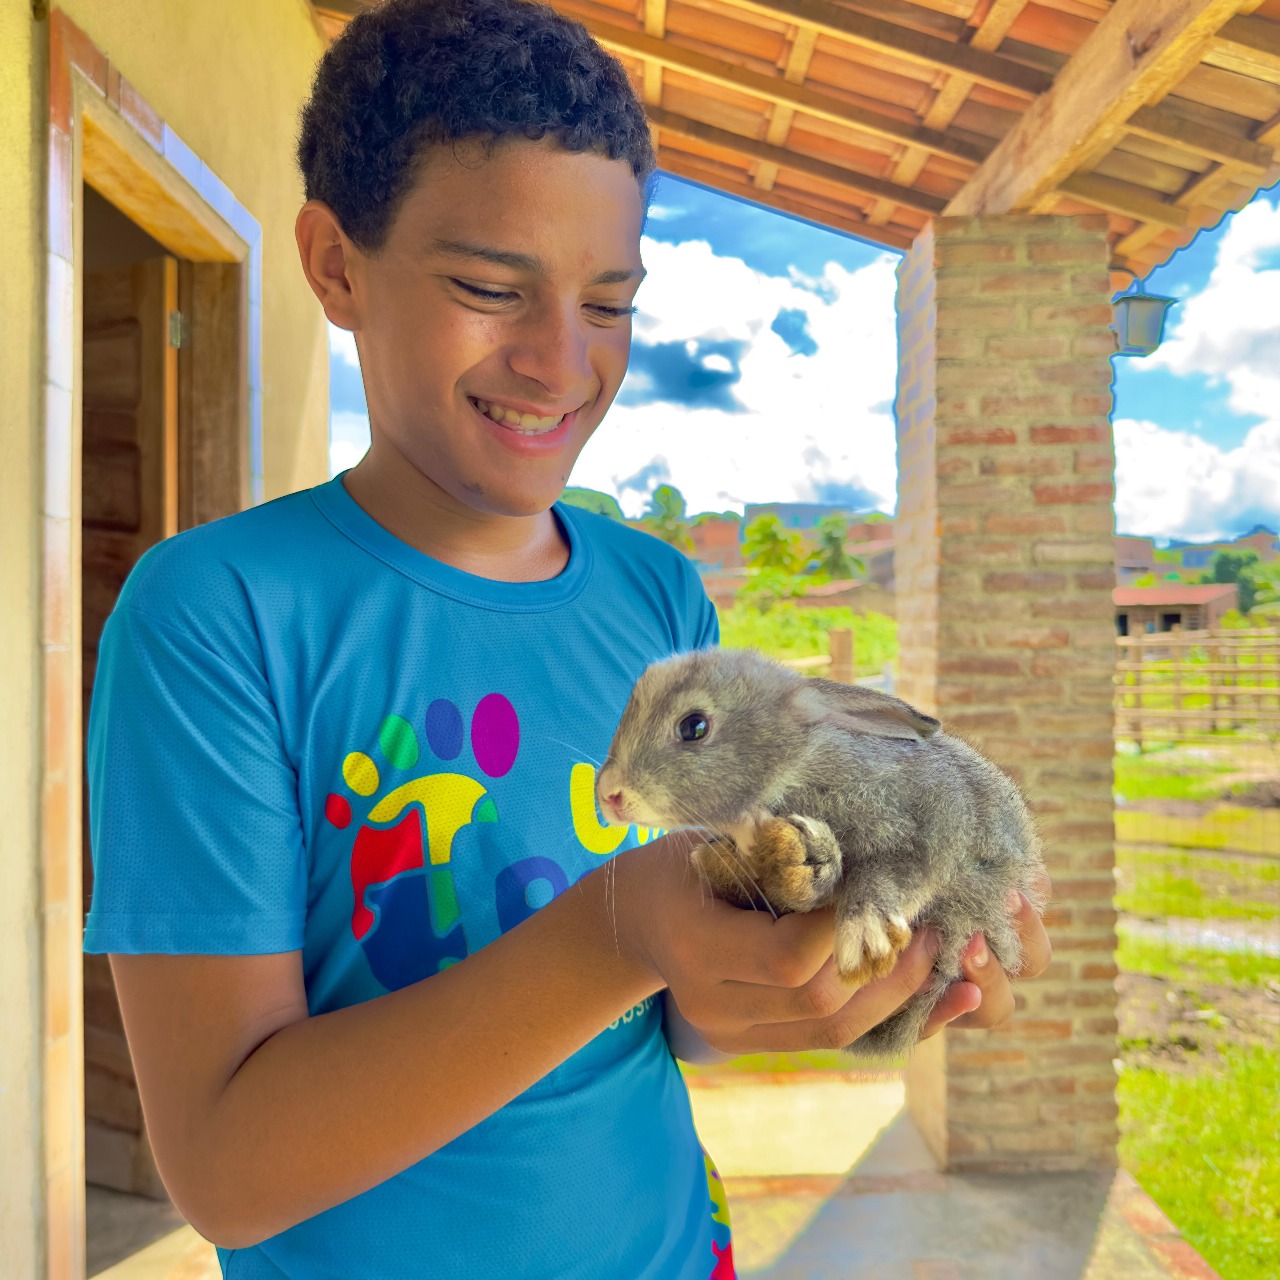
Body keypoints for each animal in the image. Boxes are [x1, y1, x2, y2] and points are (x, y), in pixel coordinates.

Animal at [593, 650, 1044, 1059]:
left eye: (694, 726)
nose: (609, 795)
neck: (795, 764)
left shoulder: (934, 819)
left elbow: (900, 871)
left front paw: (865, 935)